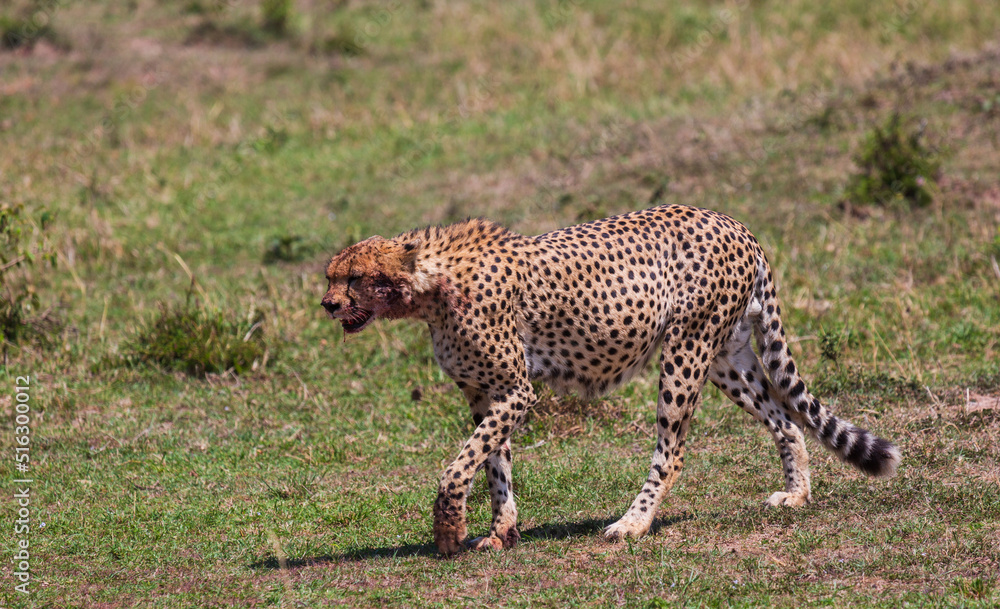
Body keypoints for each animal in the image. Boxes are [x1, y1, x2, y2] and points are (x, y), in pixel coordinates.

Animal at [321, 204, 901, 556]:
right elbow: (493, 465)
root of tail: (733, 222)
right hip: (726, 357)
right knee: (785, 418)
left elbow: (459, 466)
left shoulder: (516, 391)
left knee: (673, 450)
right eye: (331, 276)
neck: (428, 287)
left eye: (355, 278)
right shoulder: (487, 393)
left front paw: (448, 532)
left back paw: (633, 524)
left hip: (686, 352)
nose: (327, 304)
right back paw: (797, 493)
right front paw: (501, 531)